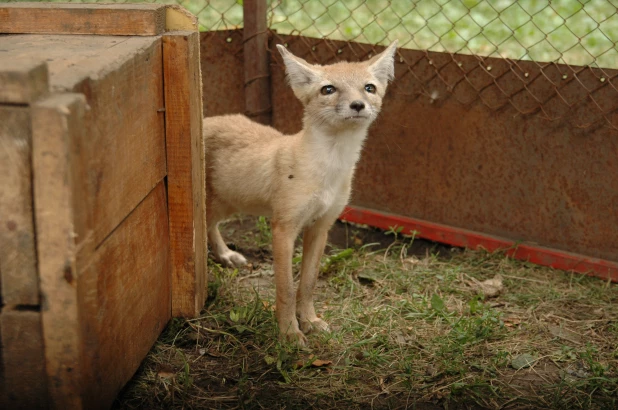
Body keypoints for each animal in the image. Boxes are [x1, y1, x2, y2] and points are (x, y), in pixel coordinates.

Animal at [202, 41, 394, 344]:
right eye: (328, 89)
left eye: (369, 88)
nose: (357, 105)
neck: (328, 171)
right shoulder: (283, 228)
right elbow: (286, 289)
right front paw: (289, 333)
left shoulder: (320, 227)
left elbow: (307, 284)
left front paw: (310, 321)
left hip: (227, 204)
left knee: (211, 226)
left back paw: (224, 255)